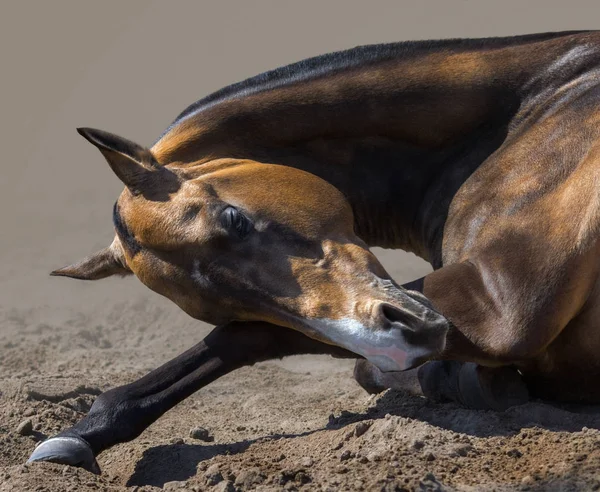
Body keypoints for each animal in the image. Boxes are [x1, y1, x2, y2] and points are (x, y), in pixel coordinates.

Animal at [29, 29, 600, 472]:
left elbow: (252, 339)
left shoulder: (502, 304)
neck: (537, 107)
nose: (400, 341)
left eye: (233, 219)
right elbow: (258, 335)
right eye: (215, 304)